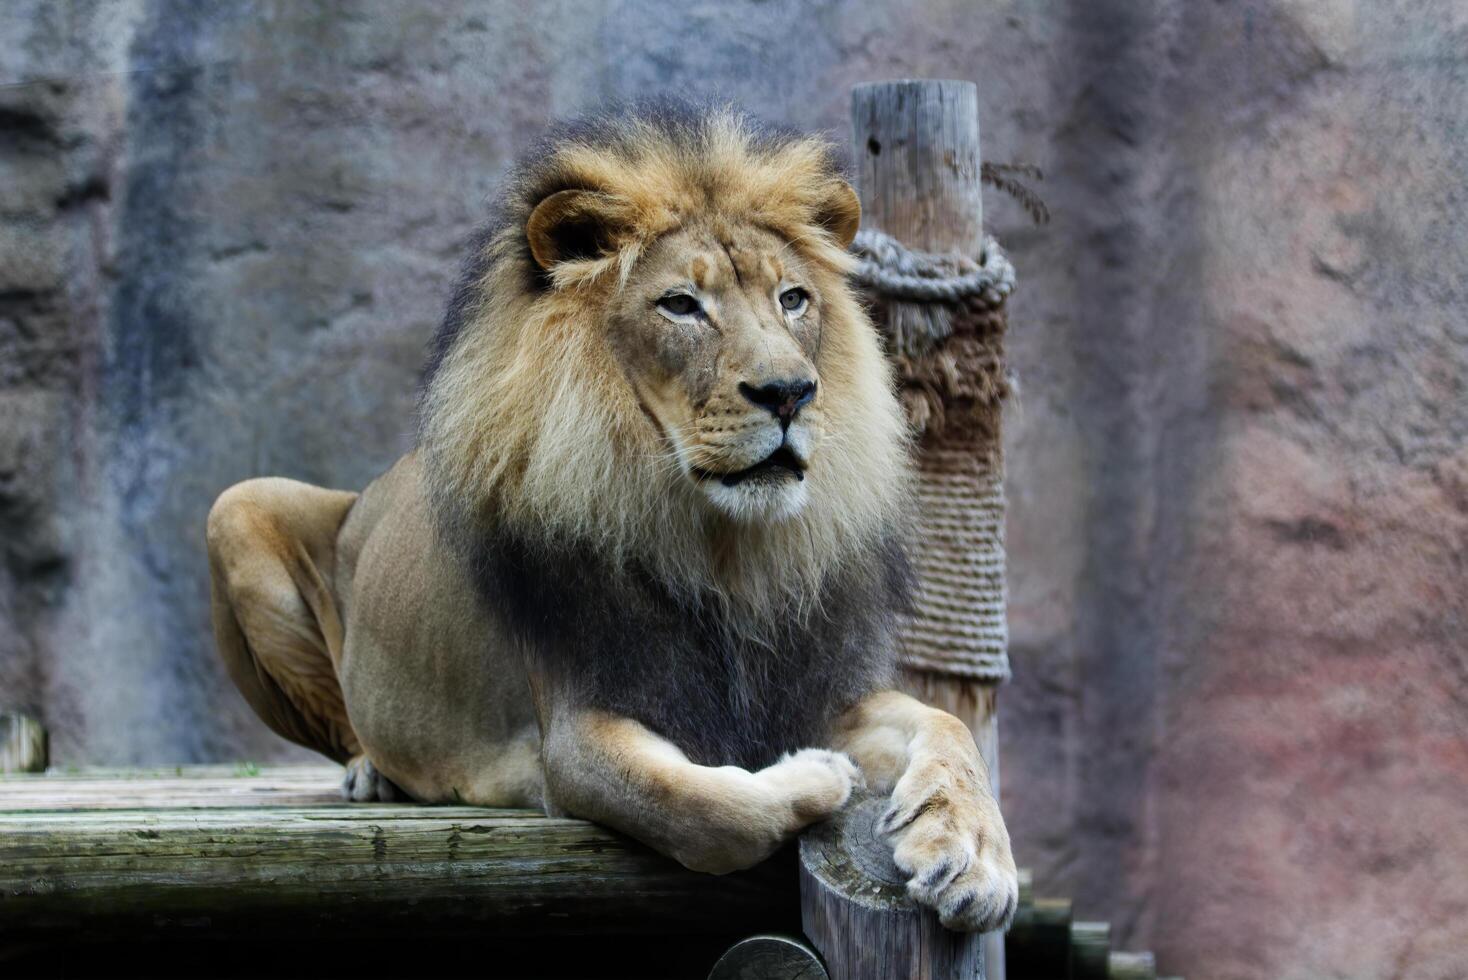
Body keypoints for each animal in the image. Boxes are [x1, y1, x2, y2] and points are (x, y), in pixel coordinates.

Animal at [206, 101, 1021, 933]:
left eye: (792, 298)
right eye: (682, 305)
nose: (791, 392)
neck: (724, 553)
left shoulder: (809, 687)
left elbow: (947, 725)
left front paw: (972, 856)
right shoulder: (576, 730)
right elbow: (706, 809)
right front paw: (820, 774)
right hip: (235, 505)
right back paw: (370, 773)